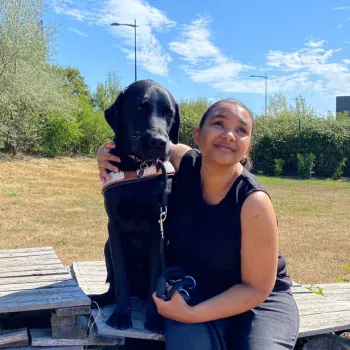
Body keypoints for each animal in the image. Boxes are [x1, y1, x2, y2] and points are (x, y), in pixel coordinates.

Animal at [89, 80, 179, 334]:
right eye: (140, 108)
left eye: (169, 114)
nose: (159, 141)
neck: (139, 168)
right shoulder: (114, 227)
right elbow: (121, 279)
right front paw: (121, 315)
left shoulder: (159, 229)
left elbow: (155, 282)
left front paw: (155, 319)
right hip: (106, 247)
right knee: (114, 285)